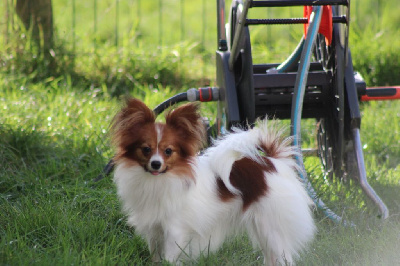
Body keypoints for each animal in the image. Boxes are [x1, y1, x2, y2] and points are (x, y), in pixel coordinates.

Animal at [110, 98, 316, 264]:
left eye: (168, 151)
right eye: (146, 149)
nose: (155, 164)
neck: (159, 180)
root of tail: (275, 162)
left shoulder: (175, 231)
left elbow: (169, 258)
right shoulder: (154, 230)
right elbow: (155, 256)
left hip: (271, 227)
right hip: (262, 229)